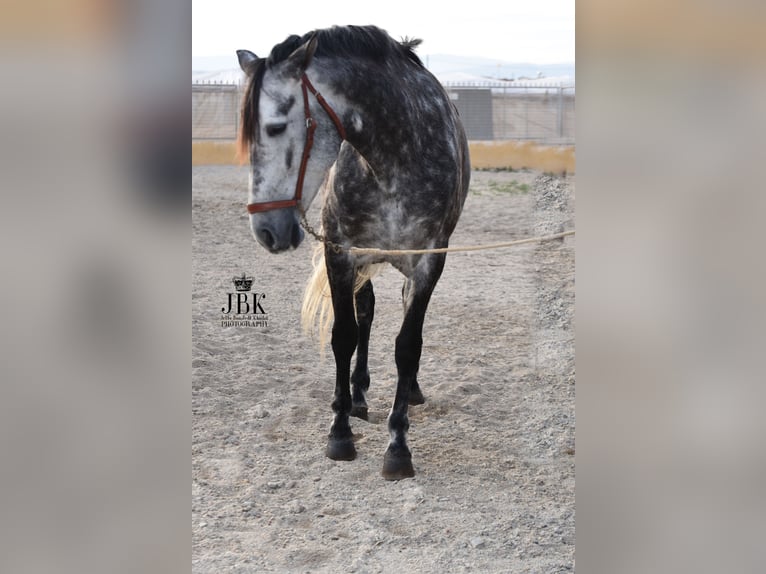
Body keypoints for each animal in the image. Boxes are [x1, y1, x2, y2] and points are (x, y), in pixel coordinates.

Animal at [237, 23, 472, 482]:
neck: (395, 157)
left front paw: (398, 447)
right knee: (366, 313)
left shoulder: (429, 264)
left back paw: (409, 391)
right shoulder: (341, 255)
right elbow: (344, 335)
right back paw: (358, 395)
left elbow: (408, 346)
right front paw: (340, 431)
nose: (266, 231)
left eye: (275, 127)